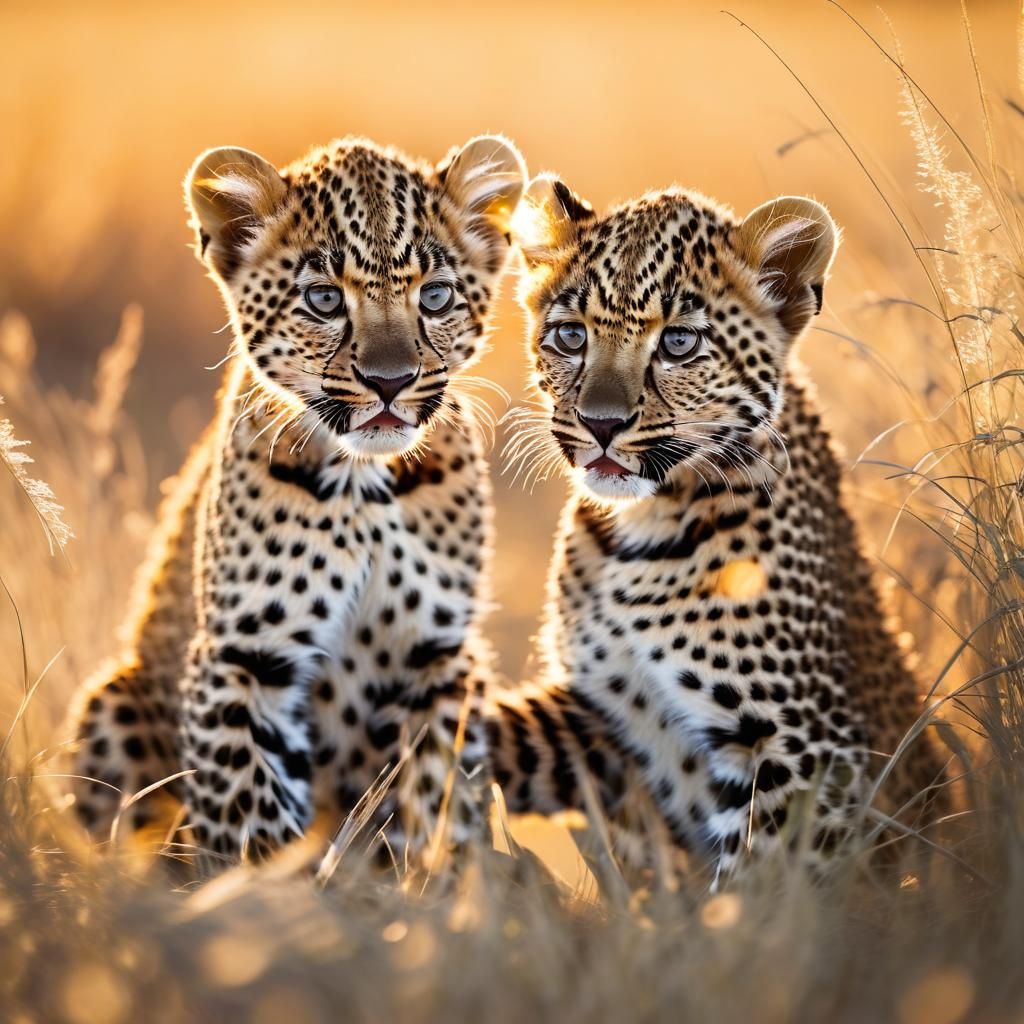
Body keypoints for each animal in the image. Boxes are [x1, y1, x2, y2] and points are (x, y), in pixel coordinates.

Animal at [66, 133, 526, 867]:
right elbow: (253, 824)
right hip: (111, 701)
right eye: (323, 300)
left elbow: (438, 803)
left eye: (435, 296)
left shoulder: (438, 656)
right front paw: (275, 894)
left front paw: (441, 887)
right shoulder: (243, 658)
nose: (391, 382)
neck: (365, 488)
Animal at [488, 175, 948, 879]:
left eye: (679, 343)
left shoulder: (800, 754)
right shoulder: (600, 723)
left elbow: (759, 885)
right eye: (569, 336)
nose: (600, 423)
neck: (636, 528)